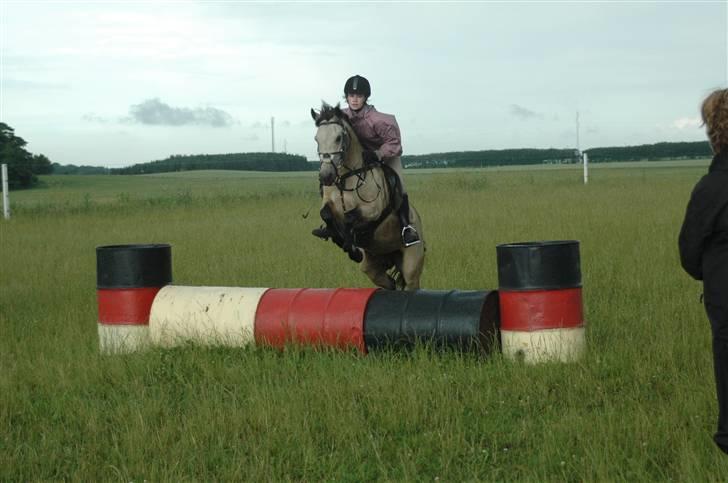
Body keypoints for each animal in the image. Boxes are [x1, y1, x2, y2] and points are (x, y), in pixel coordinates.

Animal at [310, 102, 425, 291]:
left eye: (338, 138)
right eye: (316, 139)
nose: (326, 176)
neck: (346, 177)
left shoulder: (373, 210)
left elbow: (351, 218)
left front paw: (351, 245)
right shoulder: (329, 204)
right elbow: (326, 214)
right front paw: (337, 235)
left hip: (412, 262)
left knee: (411, 282)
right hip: (373, 264)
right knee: (388, 282)